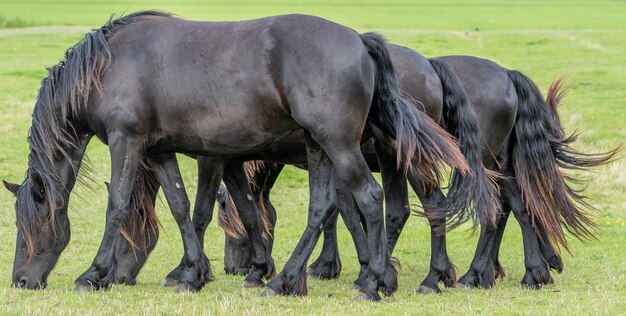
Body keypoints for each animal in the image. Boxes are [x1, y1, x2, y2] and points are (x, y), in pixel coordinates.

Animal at [3, 10, 468, 302]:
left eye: (29, 229)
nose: (21, 281)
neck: (108, 65)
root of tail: (360, 41)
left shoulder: (128, 142)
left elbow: (120, 206)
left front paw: (93, 275)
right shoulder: (161, 151)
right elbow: (184, 208)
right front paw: (193, 273)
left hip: (344, 147)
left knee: (373, 201)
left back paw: (374, 283)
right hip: (324, 149)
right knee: (324, 208)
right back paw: (286, 281)